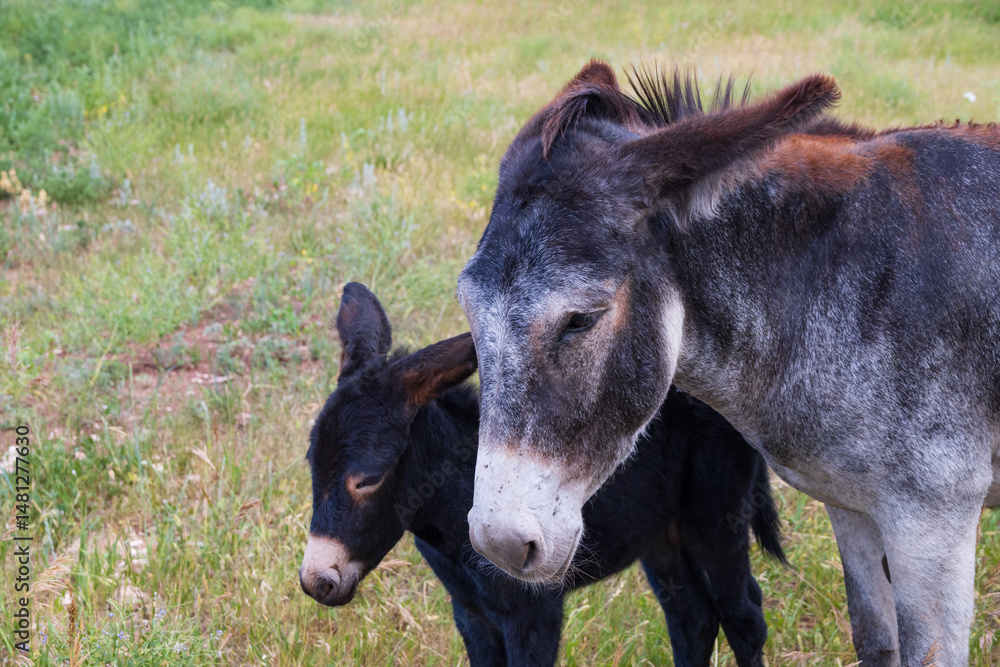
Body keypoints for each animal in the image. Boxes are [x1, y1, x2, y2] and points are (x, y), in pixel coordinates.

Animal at [299, 282, 786, 666]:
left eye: (368, 479)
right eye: (311, 464)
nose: (316, 582)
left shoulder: (535, 615)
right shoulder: (470, 614)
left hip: (716, 518)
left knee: (744, 617)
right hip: (660, 533)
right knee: (692, 617)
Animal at [457, 61, 1000, 666]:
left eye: (580, 321)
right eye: (469, 312)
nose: (499, 546)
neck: (825, 278)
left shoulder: (932, 520)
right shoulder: (853, 508)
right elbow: (876, 643)